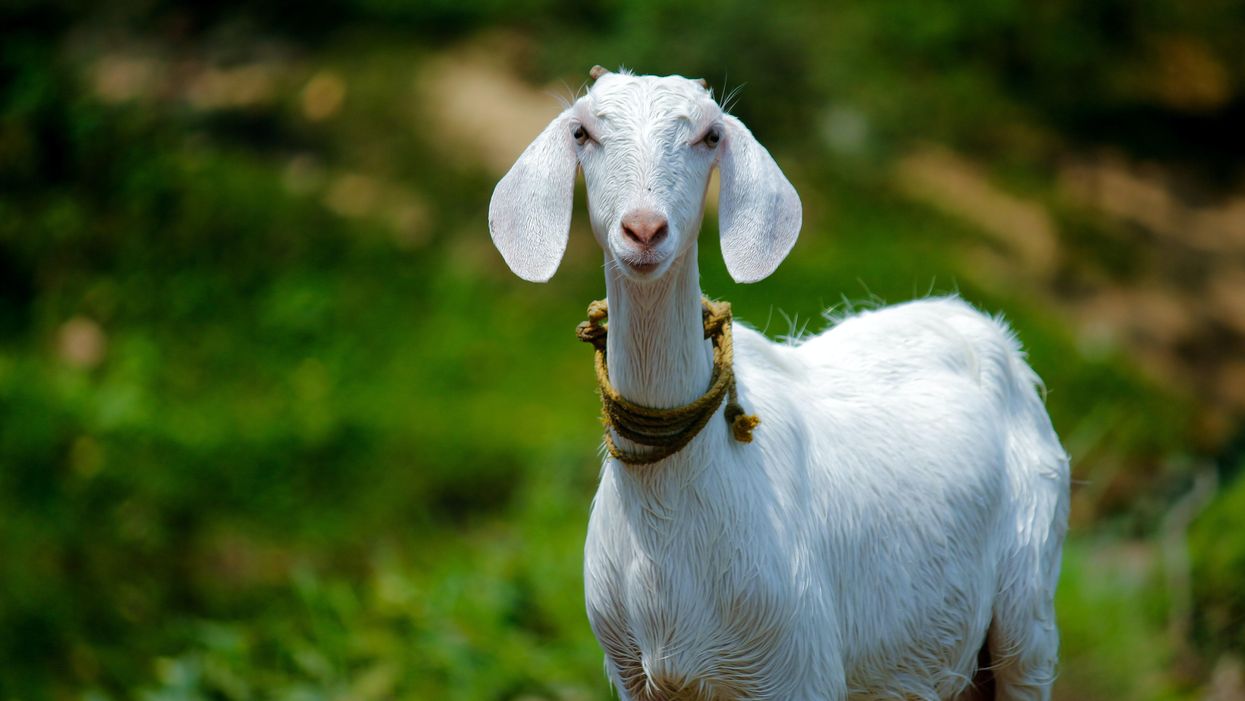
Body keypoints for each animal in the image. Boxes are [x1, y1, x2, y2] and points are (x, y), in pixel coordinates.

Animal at [488, 67, 1070, 701]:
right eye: (583, 132)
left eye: (710, 135)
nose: (644, 230)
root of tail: (982, 326)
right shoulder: (631, 675)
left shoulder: (798, 668)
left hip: (1029, 608)